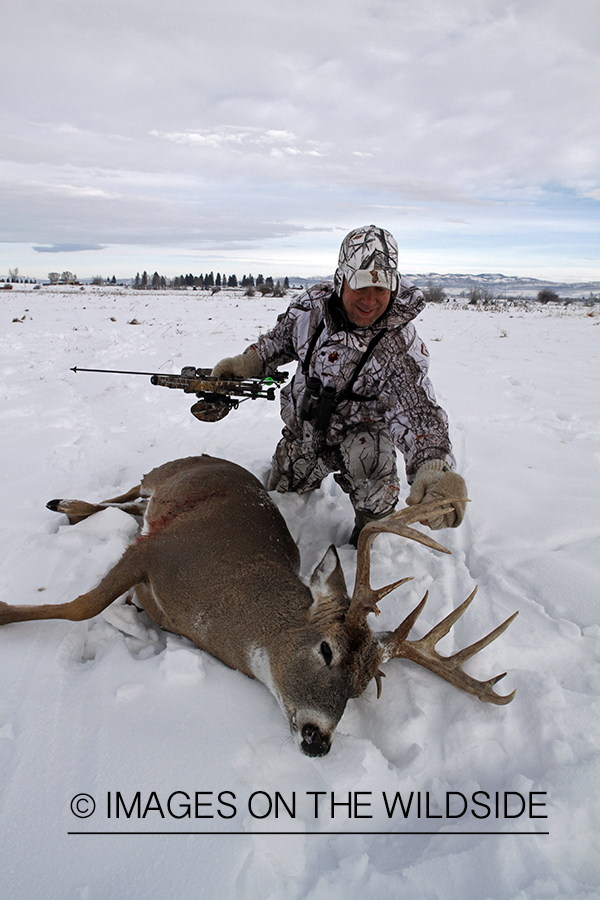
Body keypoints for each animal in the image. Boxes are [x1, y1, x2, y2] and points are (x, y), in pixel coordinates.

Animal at [0, 455, 517, 757]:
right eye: (325, 649)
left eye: (360, 688)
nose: (318, 740)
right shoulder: (156, 550)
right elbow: (81, 607)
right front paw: (4, 611)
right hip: (162, 474)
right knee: (128, 492)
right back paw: (63, 502)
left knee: (127, 506)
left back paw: (67, 507)